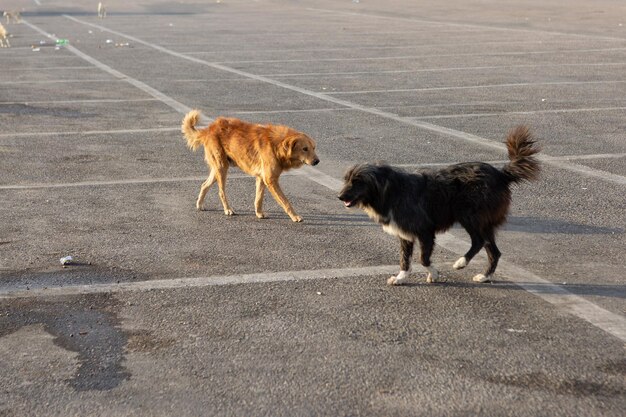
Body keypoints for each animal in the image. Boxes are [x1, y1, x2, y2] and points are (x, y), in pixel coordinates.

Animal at [179, 109, 316, 221]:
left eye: (314, 148)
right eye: (305, 149)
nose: (317, 161)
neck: (276, 145)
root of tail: (209, 128)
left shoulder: (261, 178)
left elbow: (258, 198)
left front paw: (259, 213)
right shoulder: (270, 180)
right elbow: (285, 201)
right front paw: (295, 216)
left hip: (218, 168)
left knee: (204, 185)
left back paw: (200, 204)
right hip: (222, 168)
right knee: (221, 192)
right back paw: (227, 209)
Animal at [338, 125, 540, 284]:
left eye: (358, 181)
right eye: (347, 179)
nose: (339, 196)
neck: (389, 191)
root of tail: (501, 174)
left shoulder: (425, 231)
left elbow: (423, 259)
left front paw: (434, 273)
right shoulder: (405, 234)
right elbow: (405, 259)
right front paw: (401, 277)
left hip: (469, 215)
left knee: (479, 241)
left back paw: (461, 262)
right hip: (484, 222)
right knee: (494, 251)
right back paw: (485, 276)